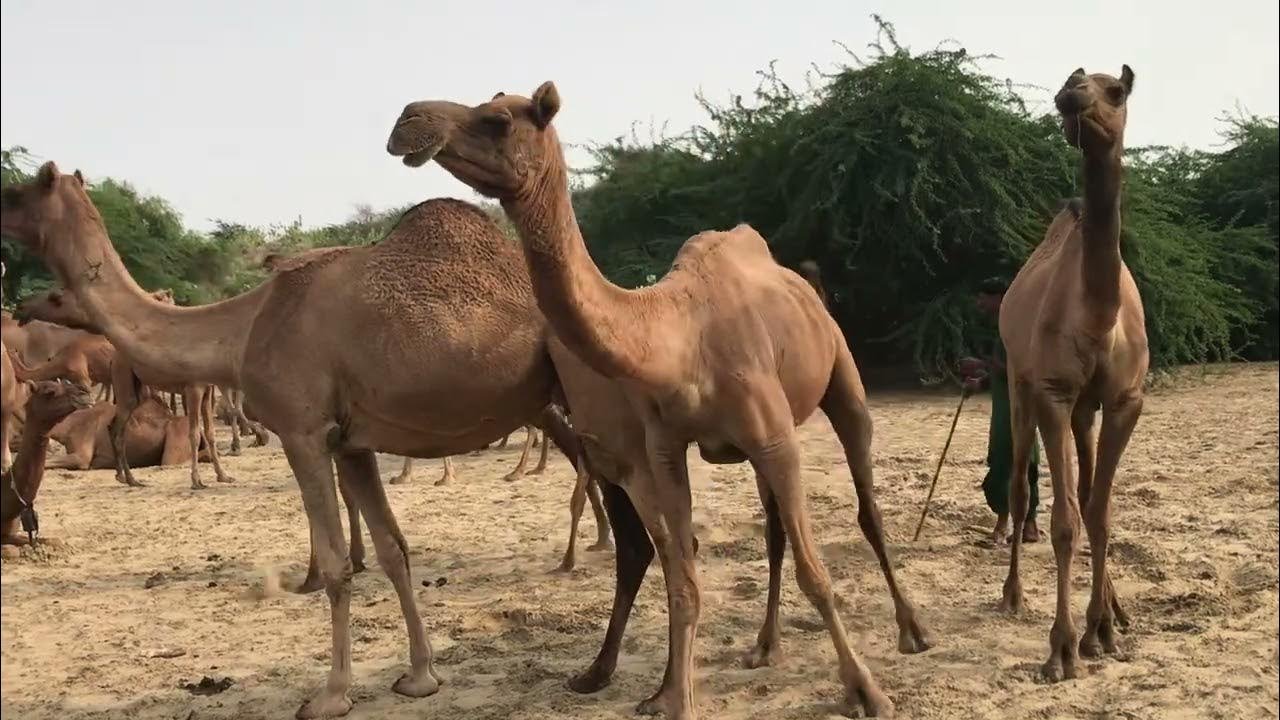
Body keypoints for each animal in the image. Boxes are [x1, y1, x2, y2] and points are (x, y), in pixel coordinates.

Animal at [387, 82, 930, 719]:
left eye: (497, 119)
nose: (408, 121)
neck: (678, 340)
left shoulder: (774, 439)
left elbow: (814, 573)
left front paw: (868, 692)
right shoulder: (667, 449)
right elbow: (685, 578)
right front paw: (675, 698)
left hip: (842, 376)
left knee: (866, 504)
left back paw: (912, 631)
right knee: (772, 530)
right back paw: (763, 645)